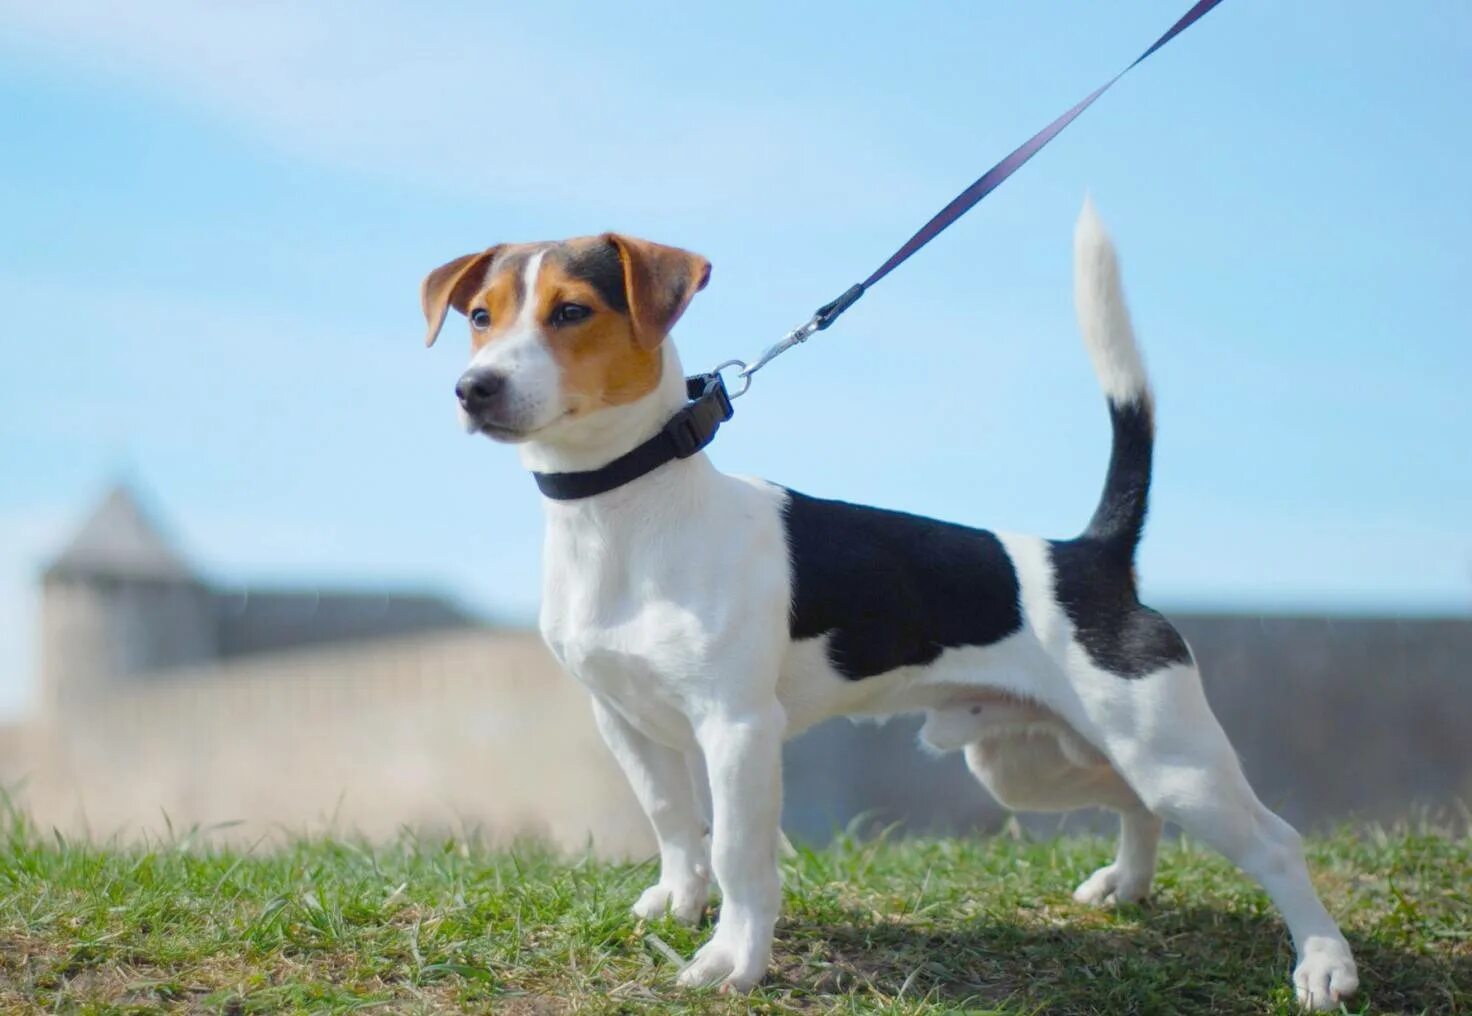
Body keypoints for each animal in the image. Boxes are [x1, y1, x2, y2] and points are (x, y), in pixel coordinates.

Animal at [420, 200, 1360, 1007]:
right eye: (481, 316)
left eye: (572, 312)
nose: (475, 388)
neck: (627, 511)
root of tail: (1091, 555)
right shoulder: (623, 719)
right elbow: (674, 824)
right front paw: (677, 905)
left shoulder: (738, 730)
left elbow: (738, 855)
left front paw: (732, 959)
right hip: (1030, 764)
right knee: (1133, 802)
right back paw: (1125, 885)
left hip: (1167, 754)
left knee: (1275, 842)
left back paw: (1324, 964)